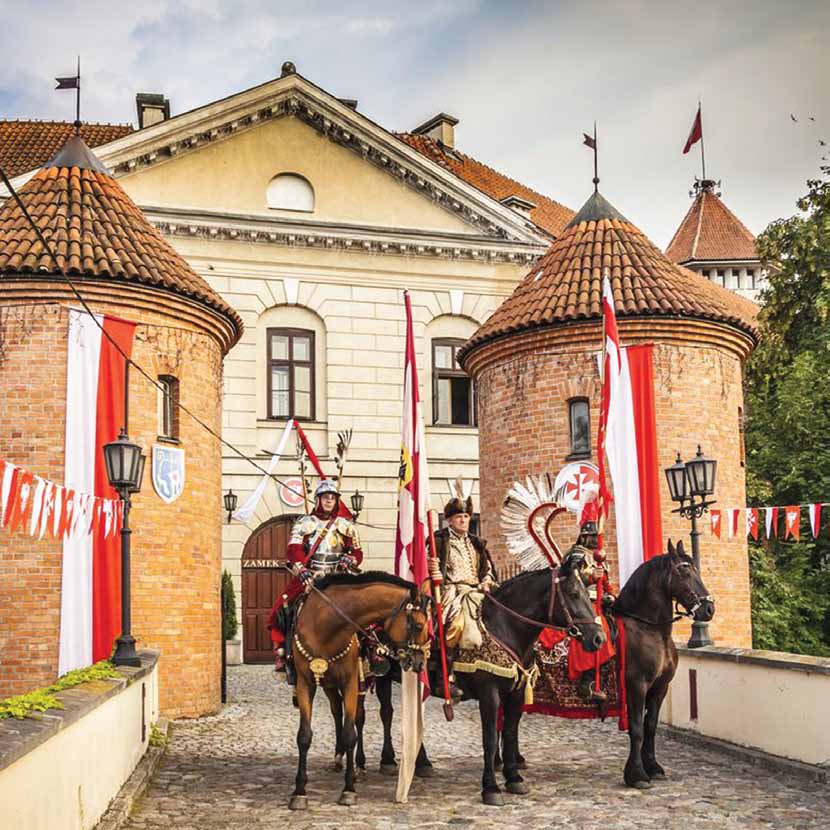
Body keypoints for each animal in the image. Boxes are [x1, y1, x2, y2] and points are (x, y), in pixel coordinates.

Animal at [290, 572, 432, 812]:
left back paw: (362, 765)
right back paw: (339, 757)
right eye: (418, 625)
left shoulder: (351, 684)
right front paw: (299, 792)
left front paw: (349, 790)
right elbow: (304, 736)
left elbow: (351, 734)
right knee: (336, 711)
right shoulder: (305, 684)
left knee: (362, 717)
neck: (326, 628)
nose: (419, 663)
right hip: (329, 685)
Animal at [616, 544, 720, 788]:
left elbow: (650, 726)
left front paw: (653, 767)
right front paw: (636, 774)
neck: (649, 630)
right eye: (685, 572)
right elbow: (636, 728)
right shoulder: (636, 685)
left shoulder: (660, 687)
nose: (709, 609)